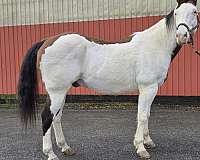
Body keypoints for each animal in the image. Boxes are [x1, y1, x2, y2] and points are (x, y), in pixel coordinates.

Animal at [17, 0, 198, 159]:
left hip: (61, 92)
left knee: (56, 117)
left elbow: (146, 114)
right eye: (176, 13)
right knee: (47, 117)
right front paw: (141, 148)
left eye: (195, 11)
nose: (182, 35)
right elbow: (142, 116)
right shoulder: (148, 87)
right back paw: (51, 154)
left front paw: (148, 141)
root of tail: (47, 41)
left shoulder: (151, 89)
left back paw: (65, 148)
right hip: (57, 91)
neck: (155, 45)